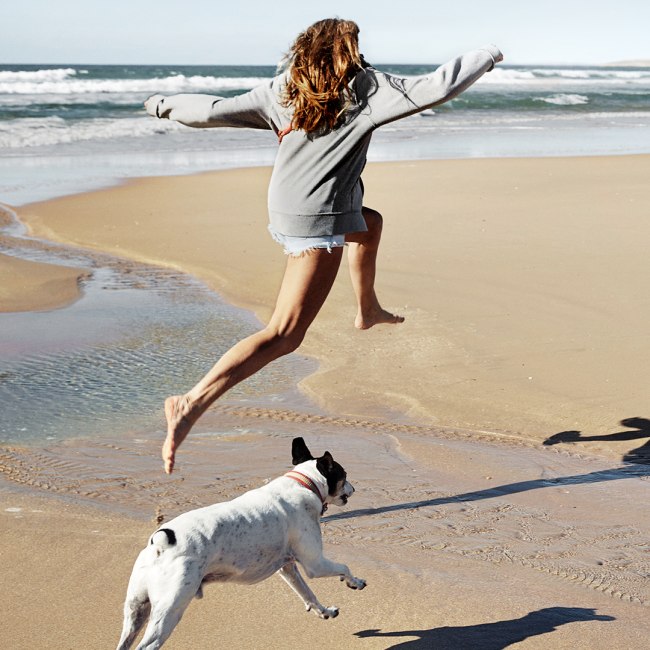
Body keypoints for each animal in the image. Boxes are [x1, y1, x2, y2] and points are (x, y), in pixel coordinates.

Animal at [116, 436, 364, 648]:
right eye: (344, 474)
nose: (354, 488)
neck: (305, 483)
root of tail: (161, 542)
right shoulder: (316, 564)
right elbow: (344, 567)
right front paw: (355, 582)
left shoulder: (288, 568)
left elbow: (308, 594)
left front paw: (324, 611)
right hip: (170, 610)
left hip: (136, 610)